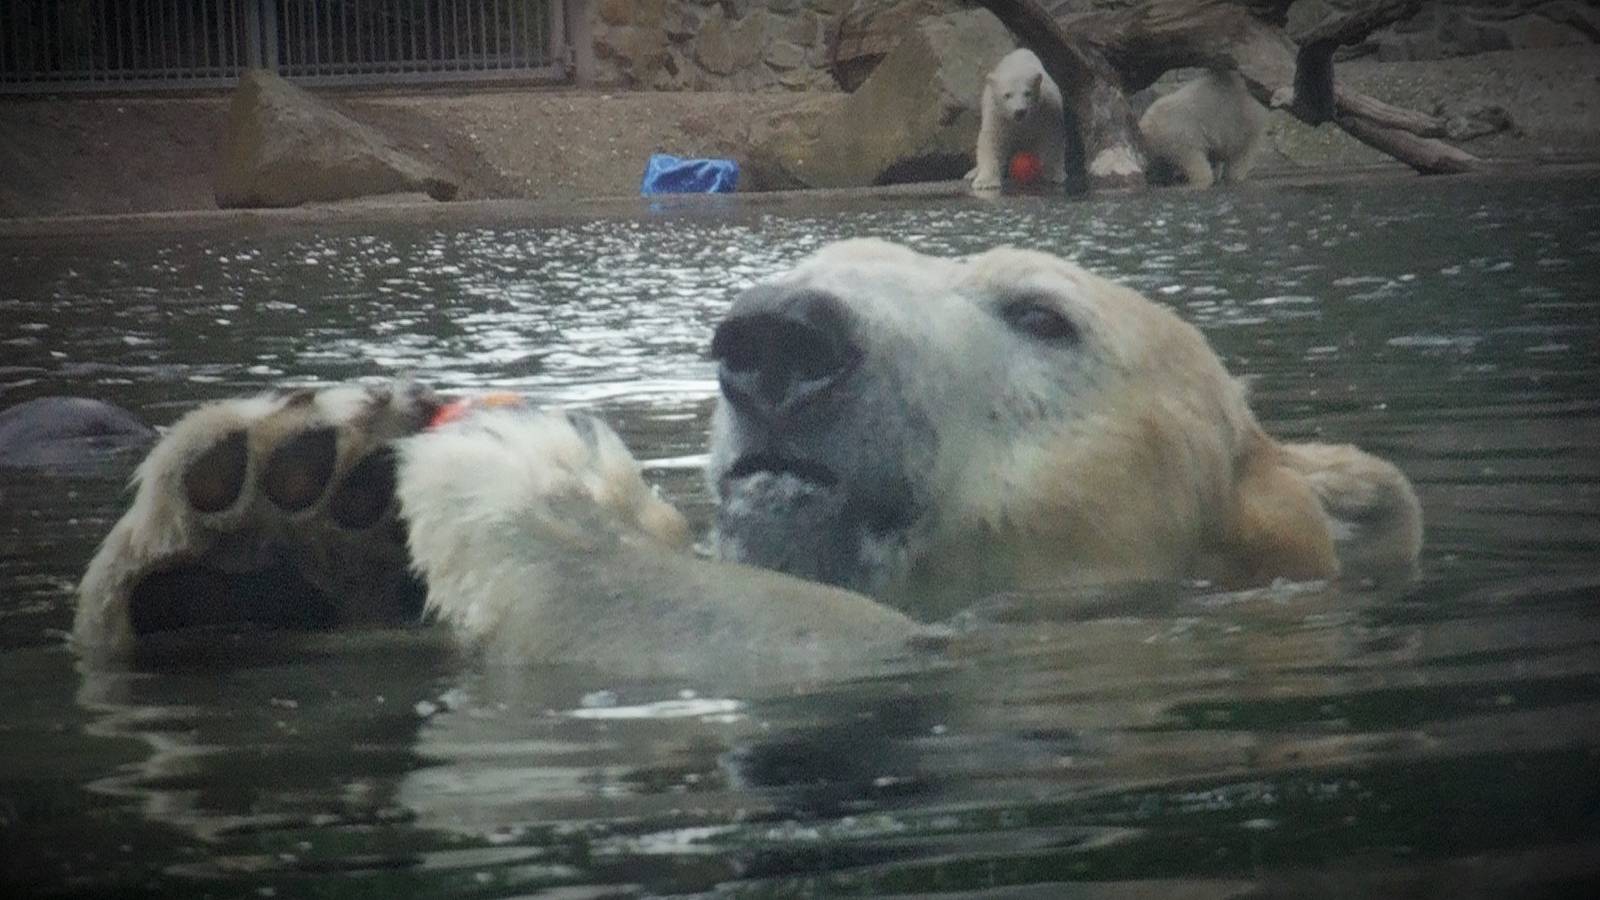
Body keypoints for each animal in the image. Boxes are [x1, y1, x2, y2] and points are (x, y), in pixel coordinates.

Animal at [970, 48, 1068, 193]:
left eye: (1027, 93)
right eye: (1007, 95)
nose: (1020, 111)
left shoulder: (1047, 110)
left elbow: (1051, 137)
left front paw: (1055, 174)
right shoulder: (997, 114)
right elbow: (992, 140)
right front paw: (985, 182)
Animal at [1139, 69, 1269, 188]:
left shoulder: (1179, 135)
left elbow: (1192, 158)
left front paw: (1197, 183)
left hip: (1242, 123)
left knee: (1242, 151)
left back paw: (1234, 176)